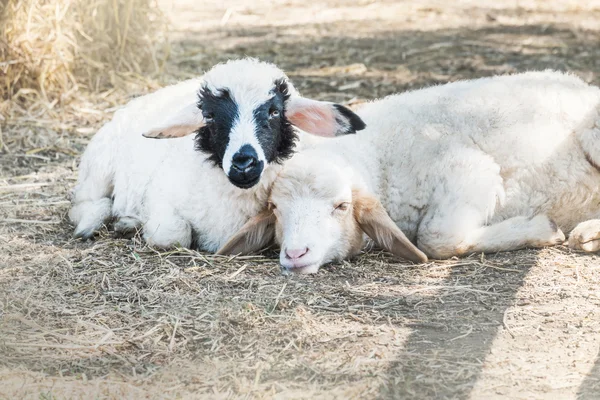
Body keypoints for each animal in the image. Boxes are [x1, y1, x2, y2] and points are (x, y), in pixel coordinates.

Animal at [68, 58, 364, 250]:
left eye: (274, 112)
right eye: (209, 116)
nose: (244, 163)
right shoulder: (161, 198)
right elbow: (174, 235)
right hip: (98, 167)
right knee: (84, 204)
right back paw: (97, 224)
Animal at [219, 70, 600, 274]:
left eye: (341, 206)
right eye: (276, 209)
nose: (296, 254)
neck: (379, 156)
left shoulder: (471, 170)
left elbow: (436, 239)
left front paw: (542, 228)